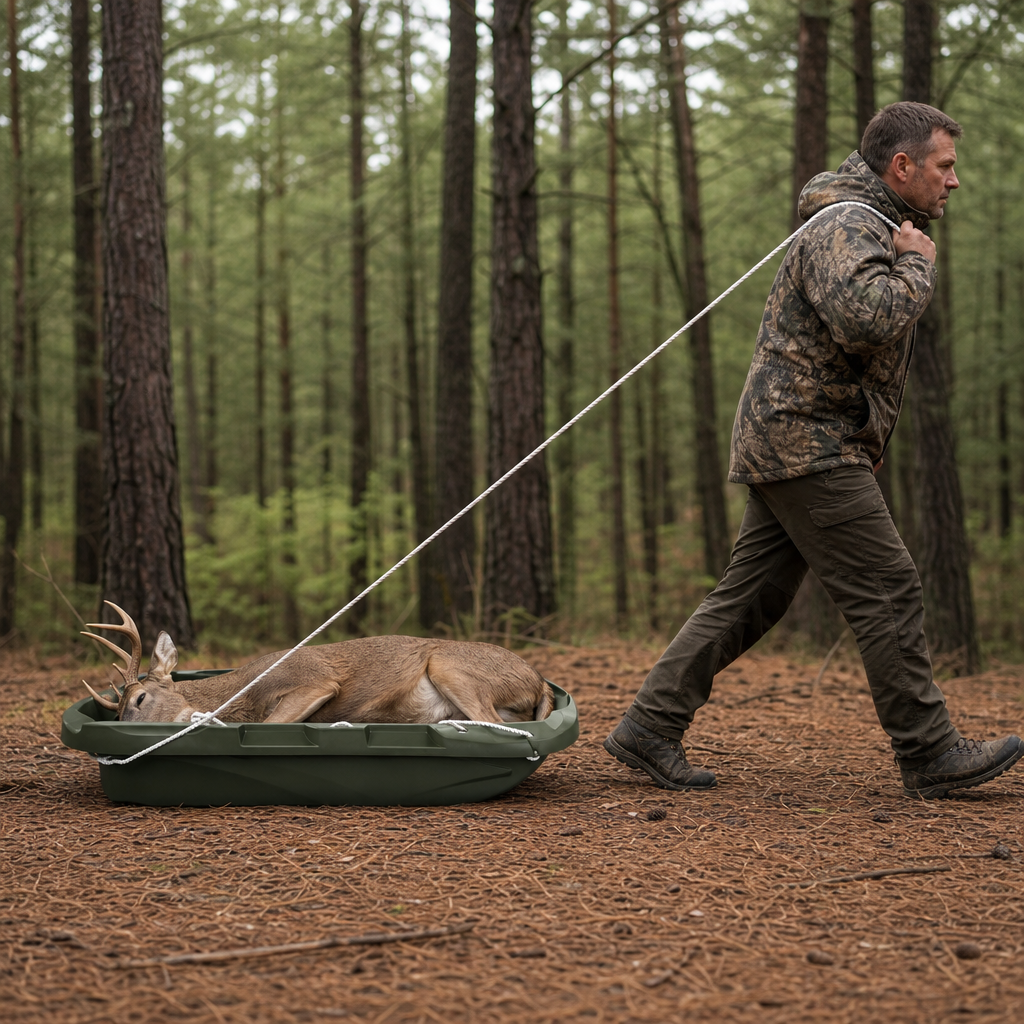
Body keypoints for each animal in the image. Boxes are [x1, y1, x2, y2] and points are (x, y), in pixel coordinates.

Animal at [82, 602, 554, 726]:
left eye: (140, 698)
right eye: (117, 712)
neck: (241, 692)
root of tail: (540, 681)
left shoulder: (314, 680)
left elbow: (271, 724)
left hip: (449, 666)